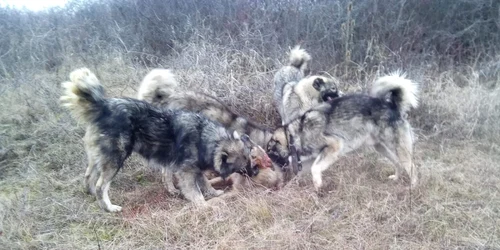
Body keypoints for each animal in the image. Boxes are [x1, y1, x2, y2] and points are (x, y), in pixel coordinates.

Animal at [60, 68, 260, 211]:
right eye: (243, 166)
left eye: (250, 159)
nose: (256, 173)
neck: (207, 139)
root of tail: (103, 106)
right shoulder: (187, 172)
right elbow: (195, 191)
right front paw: (203, 205)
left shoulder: (195, 169)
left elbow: (204, 183)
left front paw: (214, 193)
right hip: (115, 160)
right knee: (102, 186)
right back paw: (109, 207)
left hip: (98, 158)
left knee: (89, 176)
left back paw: (91, 194)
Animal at [268, 71, 420, 192]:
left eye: (271, 152)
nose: (273, 166)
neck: (293, 136)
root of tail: (392, 105)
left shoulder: (334, 145)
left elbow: (315, 169)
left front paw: (318, 187)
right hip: (381, 147)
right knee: (397, 163)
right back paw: (396, 178)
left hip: (400, 149)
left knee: (412, 167)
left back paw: (412, 188)